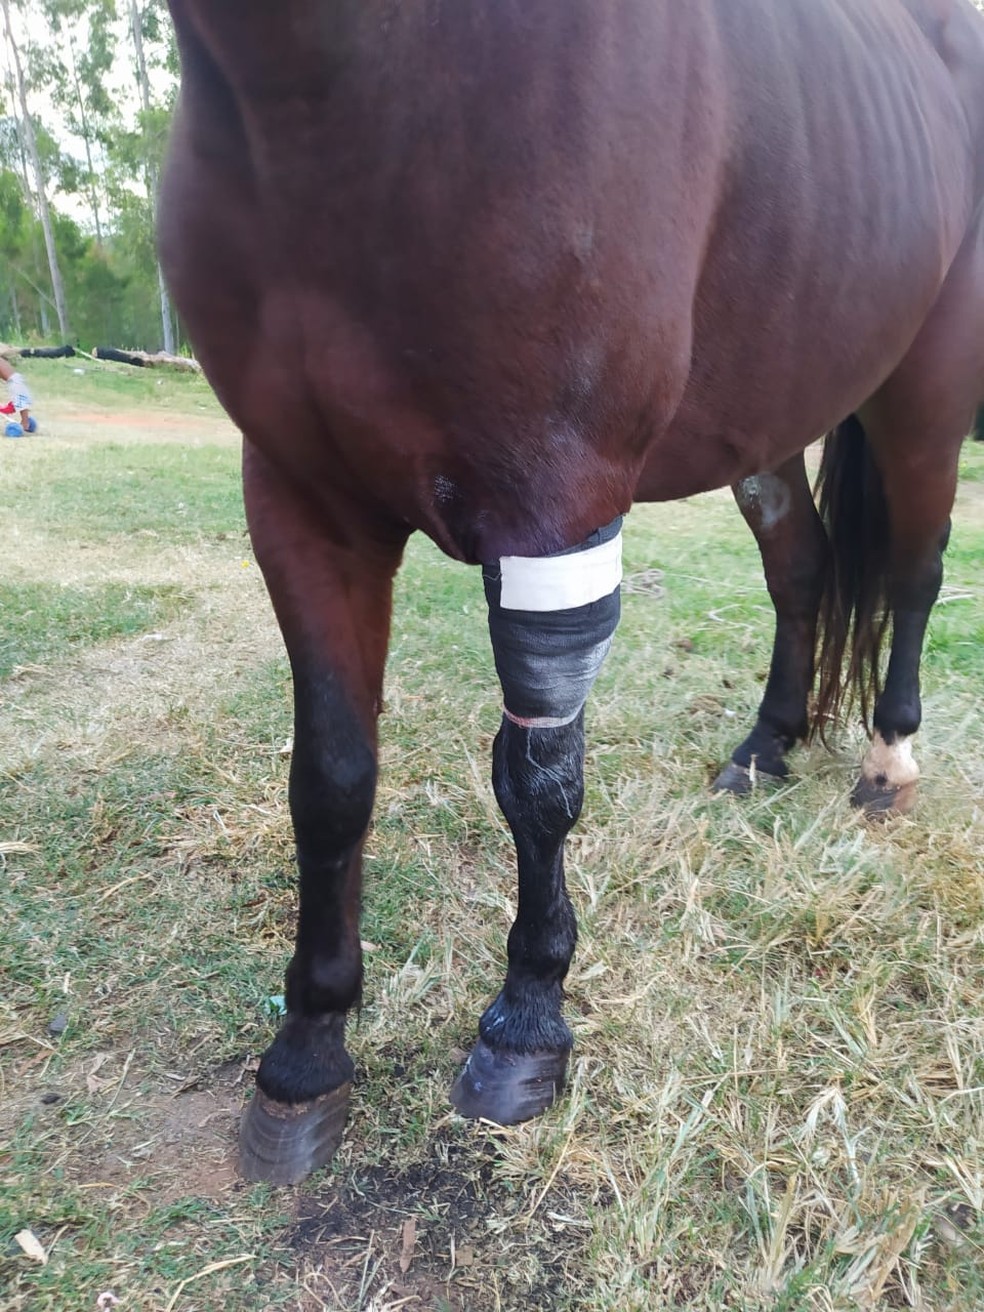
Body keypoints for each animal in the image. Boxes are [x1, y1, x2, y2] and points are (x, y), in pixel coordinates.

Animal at [159, 0, 984, 1184]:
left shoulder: (555, 501)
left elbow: (538, 785)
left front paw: (526, 1021)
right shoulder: (300, 500)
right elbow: (330, 779)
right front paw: (308, 1051)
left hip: (926, 389)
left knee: (915, 570)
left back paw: (888, 759)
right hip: (769, 417)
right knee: (802, 563)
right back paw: (766, 744)